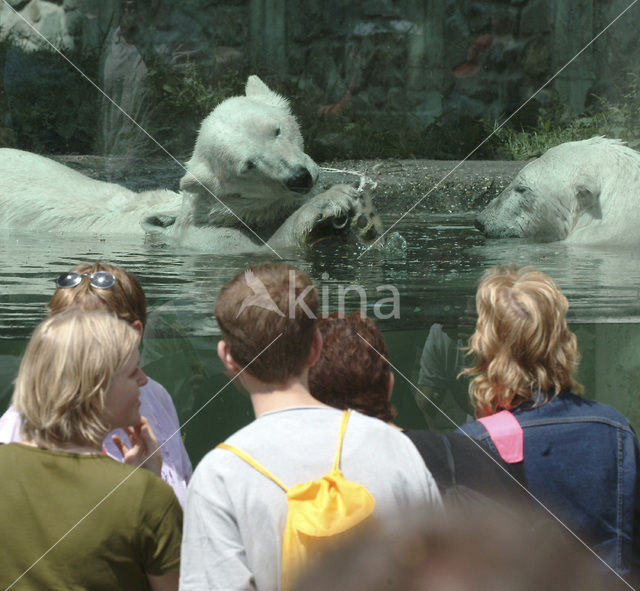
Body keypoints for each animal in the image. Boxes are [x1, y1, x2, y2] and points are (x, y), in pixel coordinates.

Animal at [0, 76, 380, 252]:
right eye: (248, 165)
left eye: (276, 129)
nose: (299, 177)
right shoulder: (200, 237)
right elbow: (266, 252)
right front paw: (329, 205)